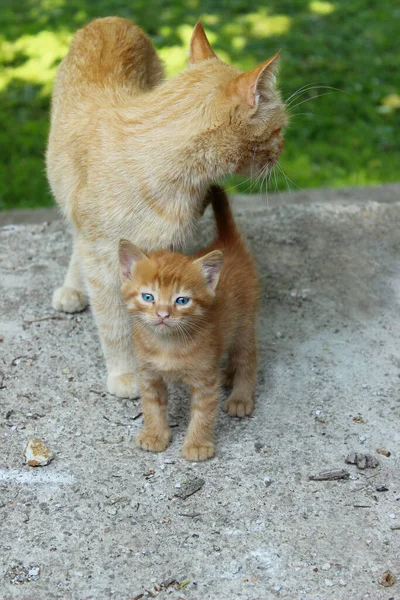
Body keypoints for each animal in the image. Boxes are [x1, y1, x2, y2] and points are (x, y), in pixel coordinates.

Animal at [46, 17, 284, 398]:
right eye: (279, 129)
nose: (281, 151)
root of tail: (111, 19)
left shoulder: (165, 249)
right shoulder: (101, 257)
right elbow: (114, 322)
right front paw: (126, 371)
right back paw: (72, 287)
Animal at [119, 185, 260, 462]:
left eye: (181, 300)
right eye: (148, 297)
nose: (163, 314)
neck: (166, 345)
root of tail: (226, 244)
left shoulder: (204, 380)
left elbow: (203, 413)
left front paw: (197, 445)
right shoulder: (149, 374)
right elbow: (152, 405)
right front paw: (155, 434)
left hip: (245, 325)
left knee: (247, 358)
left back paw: (240, 396)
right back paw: (227, 375)